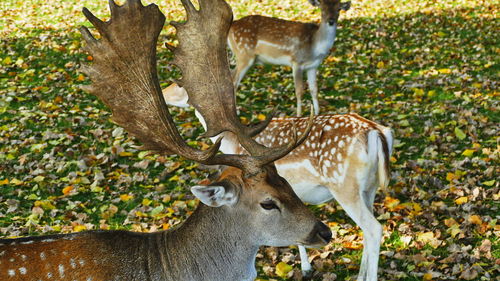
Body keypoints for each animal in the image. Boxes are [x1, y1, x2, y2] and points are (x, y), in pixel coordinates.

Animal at [162, 81, 392, 280]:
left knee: (373, 228)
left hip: (345, 187)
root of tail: (378, 133)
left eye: (179, 83)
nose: (164, 92)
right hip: (369, 189)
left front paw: (305, 268)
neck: (231, 144)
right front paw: (306, 266)